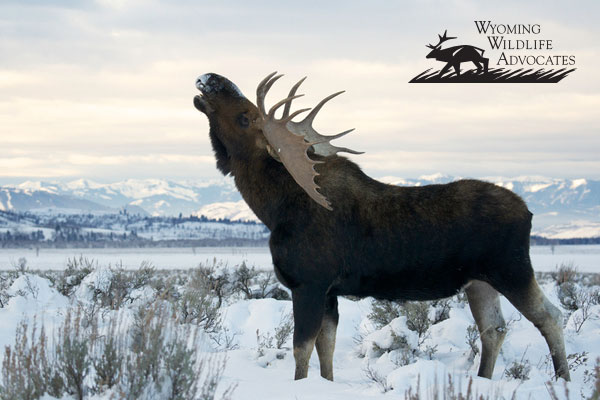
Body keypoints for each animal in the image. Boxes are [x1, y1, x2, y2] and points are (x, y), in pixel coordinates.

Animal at [193, 71, 572, 382]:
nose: (211, 79)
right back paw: (483, 380)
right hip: (479, 281)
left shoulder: (309, 284)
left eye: (247, 117)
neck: (272, 208)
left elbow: (301, 352)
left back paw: (563, 380)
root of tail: (529, 212)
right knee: (494, 329)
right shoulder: (329, 292)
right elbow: (326, 351)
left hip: (512, 269)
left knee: (551, 316)